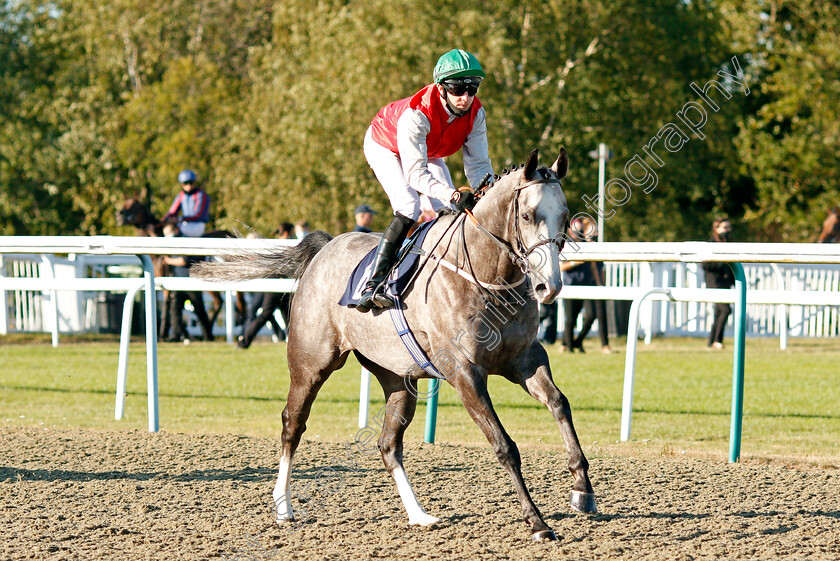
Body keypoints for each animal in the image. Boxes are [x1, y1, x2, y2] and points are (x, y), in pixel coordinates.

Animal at [190, 147, 596, 540]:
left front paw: (582, 490)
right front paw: (537, 522)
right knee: (293, 424)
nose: (549, 286)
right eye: (527, 215)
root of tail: (325, 249)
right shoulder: (465, 373)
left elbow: (560, 404)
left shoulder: (525, 358)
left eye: (565, 216)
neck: (486, 276)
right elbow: (504, 444)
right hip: (311, 364)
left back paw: (419, 514)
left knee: (388, 444)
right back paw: (283, 507)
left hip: (397, 379)